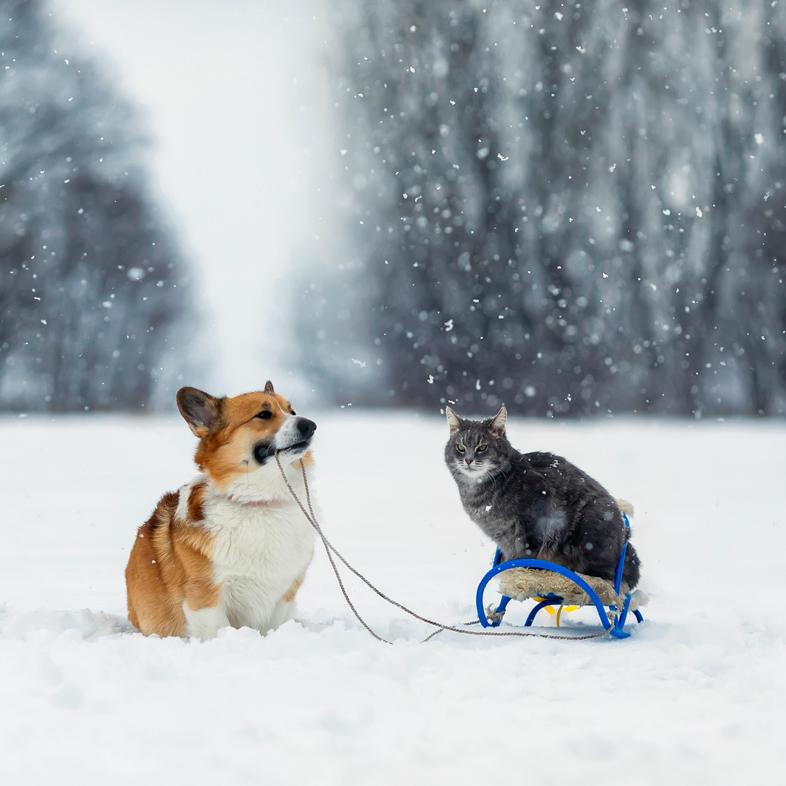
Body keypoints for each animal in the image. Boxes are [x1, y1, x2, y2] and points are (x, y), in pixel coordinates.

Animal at [125, 380, 316, 636]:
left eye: (292, 411)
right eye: (263, 414)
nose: (311, 425)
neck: (259, 500)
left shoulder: (284, 594)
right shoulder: (206, 597)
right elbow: (217, 630)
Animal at [440, 404, 636, 580]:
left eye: (482, 447)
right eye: (460, 447)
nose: (468, 460)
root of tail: (625, 537)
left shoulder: (535, 522)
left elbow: (527, 556)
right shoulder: (504, 538)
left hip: (590, 523)